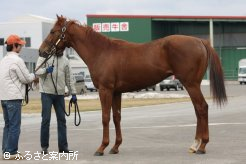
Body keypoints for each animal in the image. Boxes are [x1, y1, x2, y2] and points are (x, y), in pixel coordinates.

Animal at [38, 16, 227, 156]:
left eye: (53, 31)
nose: (41, 51)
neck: (102, 51)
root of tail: (200, 41)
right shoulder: (116, 92)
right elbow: (117, 117)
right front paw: (115, 147)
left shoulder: (105, 90)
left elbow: (105, 117)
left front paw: (102, 148)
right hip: (192, 85)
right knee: (198, 110)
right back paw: (195, 145)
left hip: (191, 84)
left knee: (201, 108)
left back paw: (201, 146)